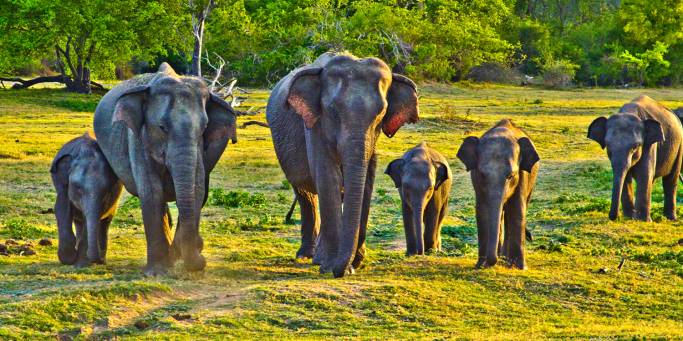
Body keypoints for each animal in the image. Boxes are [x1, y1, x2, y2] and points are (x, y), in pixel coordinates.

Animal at [50, 132, 123, 266]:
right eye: (78, 188)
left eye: (106, 191)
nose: (99, 260)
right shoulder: (62, 184)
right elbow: (61, 209)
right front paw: (69, 259)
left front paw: (81, 263)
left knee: (104, 223)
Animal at [93, 61, 238, 274]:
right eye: (162, 127)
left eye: (204, 129)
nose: (201, 259)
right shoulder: (138, 138)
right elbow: (152, 191)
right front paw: (157, 271)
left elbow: (197, 190)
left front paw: (179, 258)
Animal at [268, 52, 420, 276]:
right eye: (332, 110)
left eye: (381, 113)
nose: (346, 269)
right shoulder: (314, 125)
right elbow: (328, 177)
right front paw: (332, 267)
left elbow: (366, 181)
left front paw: (354, 263)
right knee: (306, 194)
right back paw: (308, 256)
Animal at [460, 119, 540, 268]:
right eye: (482, 174)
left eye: (511, 176)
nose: (491, 261)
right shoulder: (476, 180)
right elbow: (482, 210)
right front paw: (481, 265)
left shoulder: (523, 175)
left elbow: (517, 209)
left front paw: (520, 267)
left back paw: (506, 259)